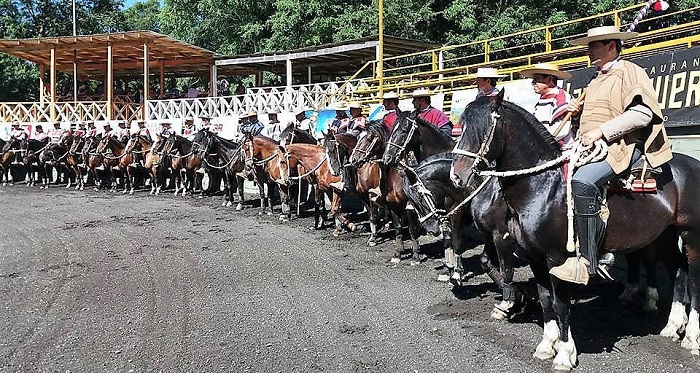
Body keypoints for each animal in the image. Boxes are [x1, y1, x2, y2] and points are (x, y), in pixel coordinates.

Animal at [448, 92, 700, 370]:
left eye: (482, 129)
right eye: (461, 127)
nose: (456, 176)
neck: (543, 187)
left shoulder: (557, 257)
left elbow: (560, 303)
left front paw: (565, 354)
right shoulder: (534, 256)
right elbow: (545, 298)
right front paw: (547, 345)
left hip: (691, 234)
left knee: (693, 277)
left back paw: (691, 336)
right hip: (666, 234)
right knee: (678, 269)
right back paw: (673, 325)